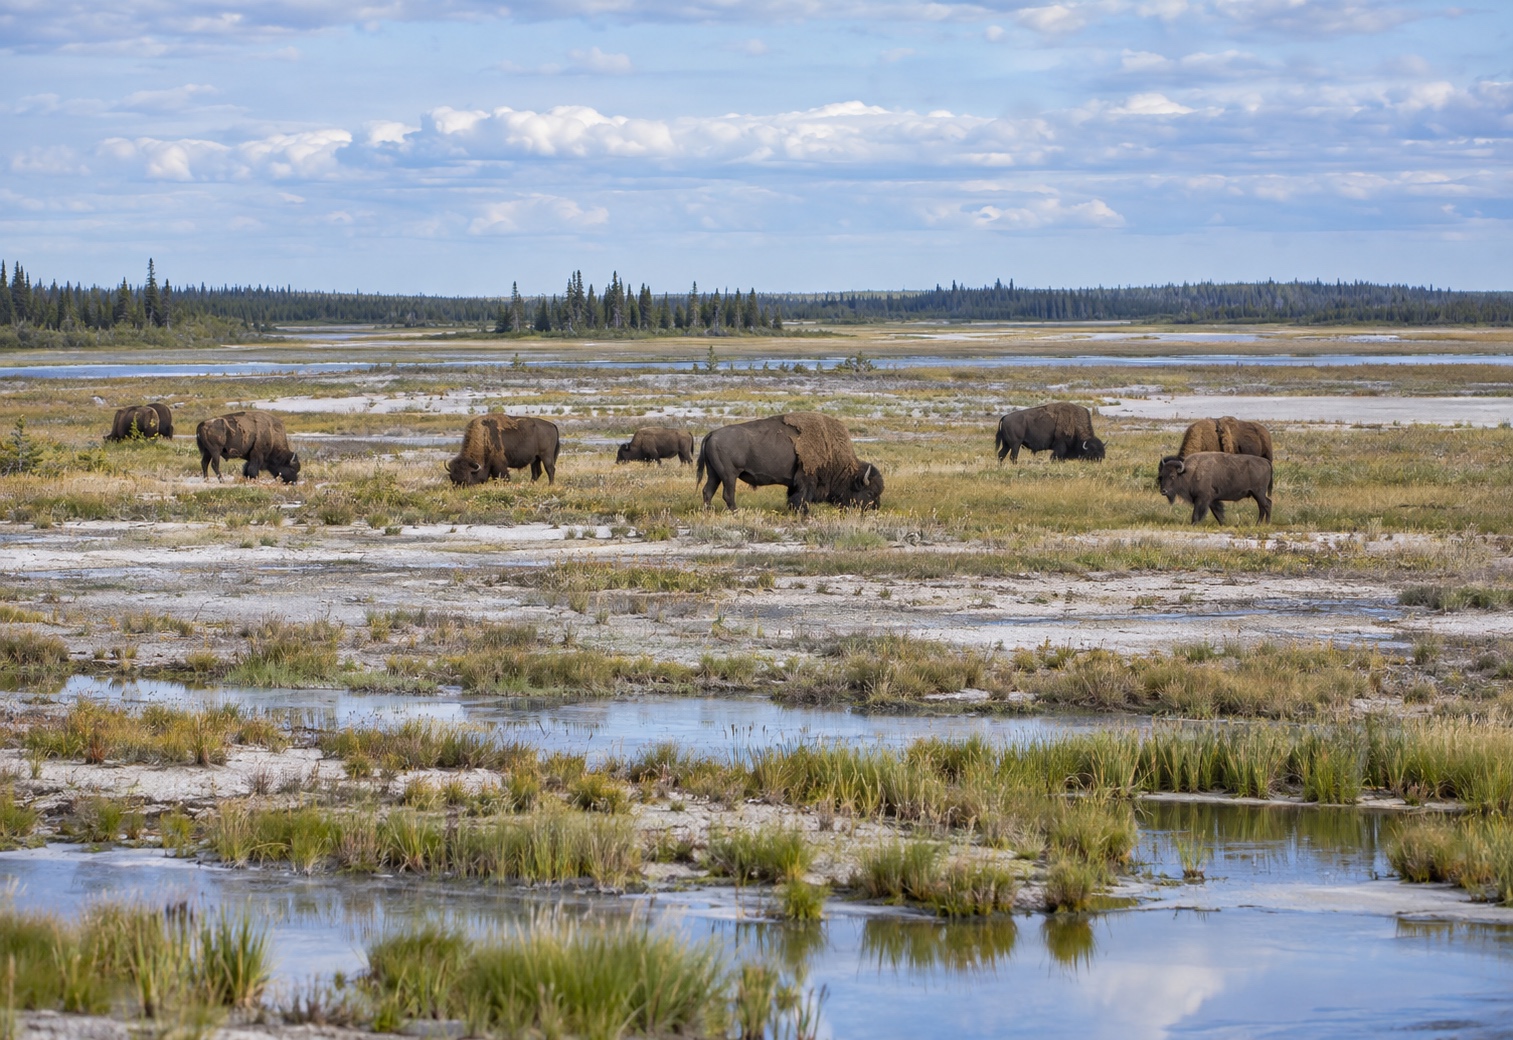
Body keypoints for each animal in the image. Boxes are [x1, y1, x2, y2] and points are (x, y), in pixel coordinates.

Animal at [697, 412, 883, 513]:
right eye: (869, 493)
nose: (875, 508)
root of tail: (712, 433)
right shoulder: (807, 479)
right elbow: (802, 498)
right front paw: (805, 513)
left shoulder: (795, 482)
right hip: (729, 475)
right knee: (728, 494)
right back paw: (736, 512)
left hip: (714, 474)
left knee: (707, 491)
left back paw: (708, 511)